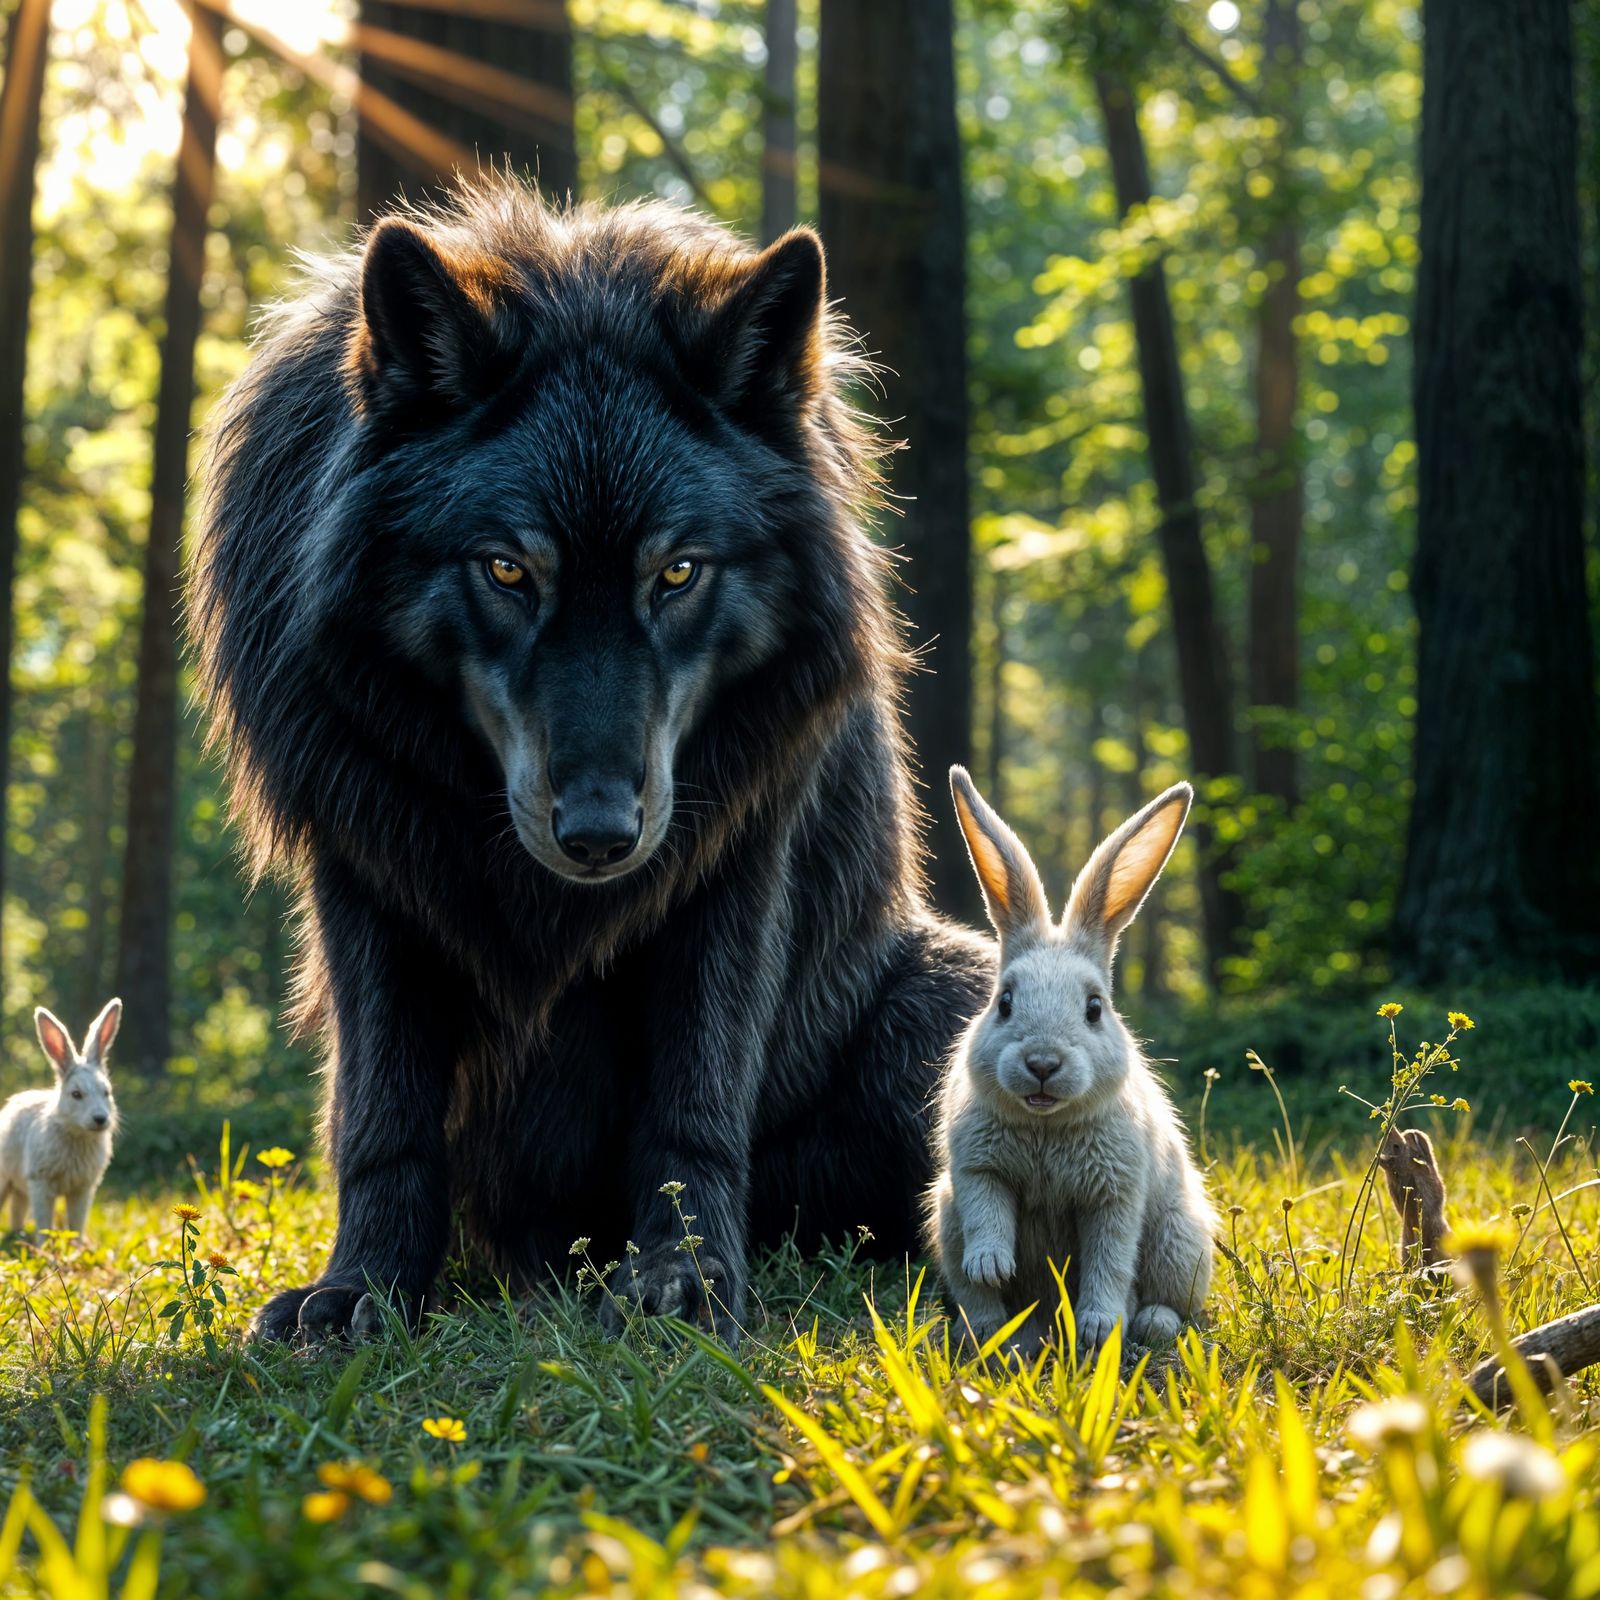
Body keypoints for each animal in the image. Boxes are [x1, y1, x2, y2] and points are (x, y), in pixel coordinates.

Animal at [0, 999, 121, 1238]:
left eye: (107, 1092)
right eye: (76, 1094)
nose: (100, 1119)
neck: (74, 1132)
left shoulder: (82, 1190)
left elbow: (76, 1225)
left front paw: (76, 1245)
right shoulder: (40, 1183)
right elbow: (44, 1224)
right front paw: (45, 1246)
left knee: (17, 1208)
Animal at [189, 178, 993, 1343]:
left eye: (678, 571)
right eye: (508, 570)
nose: (603, 835)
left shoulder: (735, 867)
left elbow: (693, 1106)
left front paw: (683, 1283)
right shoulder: (363, 874)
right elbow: (382, 1116)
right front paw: (364, 1287)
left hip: (958, 997)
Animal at [926, 770, 1216, 1355]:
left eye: (1094, 1008)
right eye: (1004, 1002)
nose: (1042, 1063)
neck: (1047, 1124)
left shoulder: (1114, 1197)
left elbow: (1109, 1262)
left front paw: (1099, 1328)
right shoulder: (976, 1171)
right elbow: (988, 1217)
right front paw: (992, 1266)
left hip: (1180, 1237)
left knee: (1173, 1300)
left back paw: (1149, 1323)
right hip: (945, 1216)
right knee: (980, 1299)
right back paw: (990, 1333)